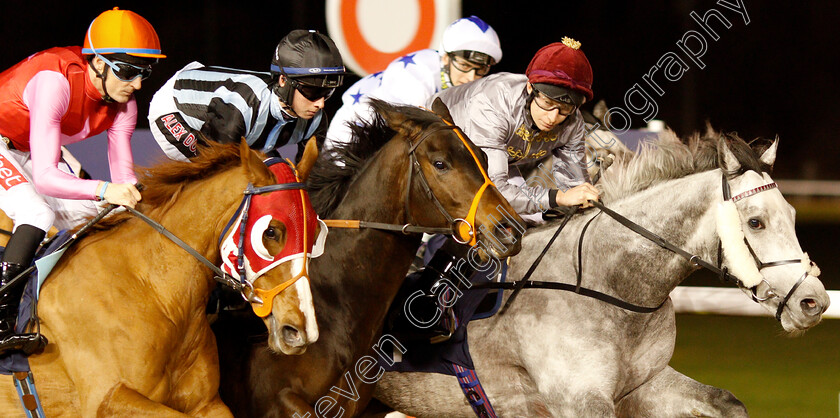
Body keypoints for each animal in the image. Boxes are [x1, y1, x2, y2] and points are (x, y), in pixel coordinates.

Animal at [0, 140, 322, 414]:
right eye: (271, 231)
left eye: (316, 231)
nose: (300, 330)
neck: (155, 291)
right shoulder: (109, 398)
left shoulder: (206, 403)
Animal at [372, 129, 828, 416]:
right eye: (756, 222)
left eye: (791, 215)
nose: (815, 302)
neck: (610, 285)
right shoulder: (578, 400)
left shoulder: (643, 384)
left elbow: (727, 402)